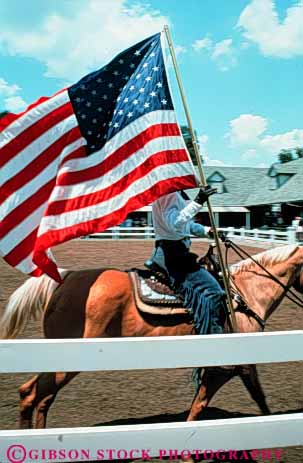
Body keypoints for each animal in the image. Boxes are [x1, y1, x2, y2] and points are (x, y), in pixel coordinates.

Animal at [0, 245, 303, 430]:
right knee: (32, 394)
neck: (244, 295)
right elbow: (218, 403)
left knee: (39, 397)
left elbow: (233, 400)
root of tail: (66, 277)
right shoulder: (231, 367)